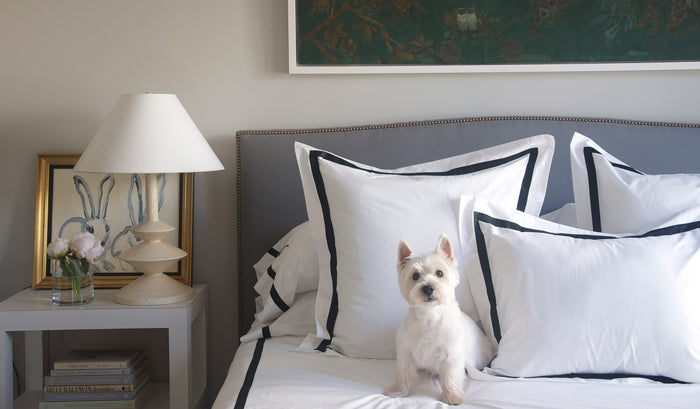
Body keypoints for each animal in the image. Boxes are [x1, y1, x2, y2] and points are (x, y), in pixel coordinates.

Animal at [386, 234, 494, 404]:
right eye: (415, 276)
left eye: (439, 273)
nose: (428, 288)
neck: (430, 316)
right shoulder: (406, 352)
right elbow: (404, 373)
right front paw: (397, 390)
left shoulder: (451, 355)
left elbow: (450, 378)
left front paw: (452, 397)